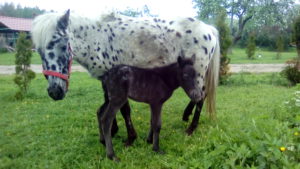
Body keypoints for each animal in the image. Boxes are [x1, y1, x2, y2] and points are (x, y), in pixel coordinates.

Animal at [31, 9, 220, 152]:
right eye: (38, 50)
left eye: (62, 45)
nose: (55, 92)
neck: (97, 37)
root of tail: (209, 29)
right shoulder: (106, 79)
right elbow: (108, 105)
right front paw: (112, 131)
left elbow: (124, 109)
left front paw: (130, 138)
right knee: (197, 96)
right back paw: (186, 116)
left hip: (198, 72)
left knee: (201, 96)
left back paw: (191, 128)